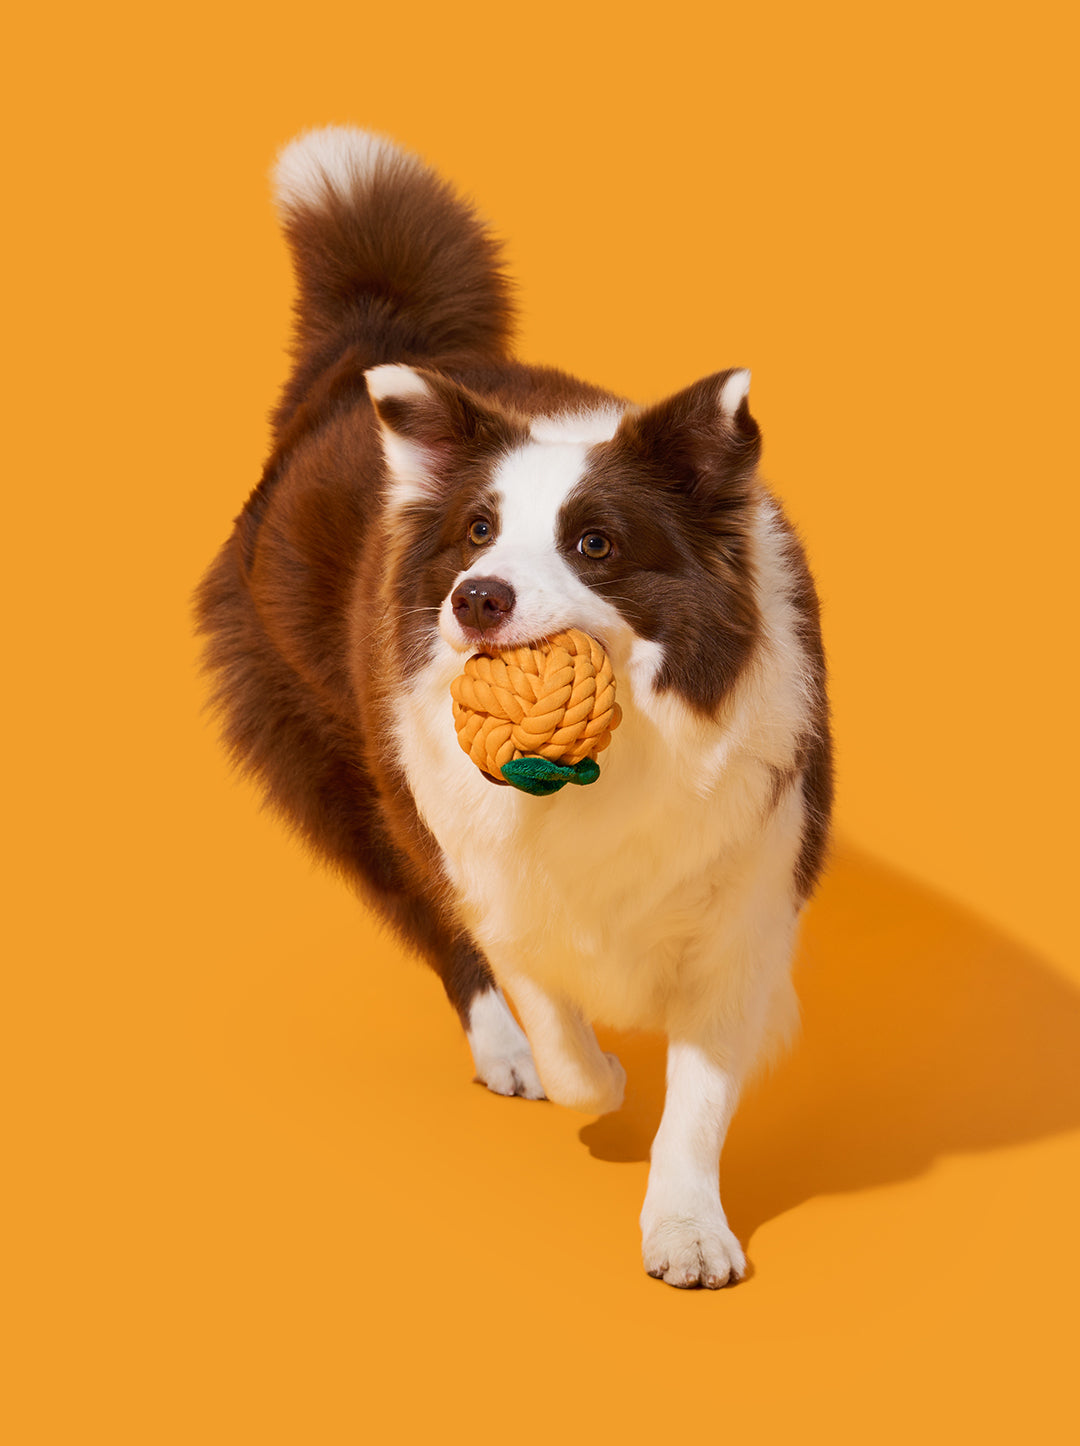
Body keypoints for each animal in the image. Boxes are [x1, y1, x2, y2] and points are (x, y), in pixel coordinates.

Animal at [198, 127, 832, 1289]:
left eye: (596, 543)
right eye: (480, 529)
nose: (476, 597)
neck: (611, 758)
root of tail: (366, 353)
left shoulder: (750, 890)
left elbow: (700, 1090)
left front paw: (686, 1227)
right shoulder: (480, 856)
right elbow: (545, 996)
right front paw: (593, 1078)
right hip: (346, 768)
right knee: (427, 916)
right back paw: (504, 1048)